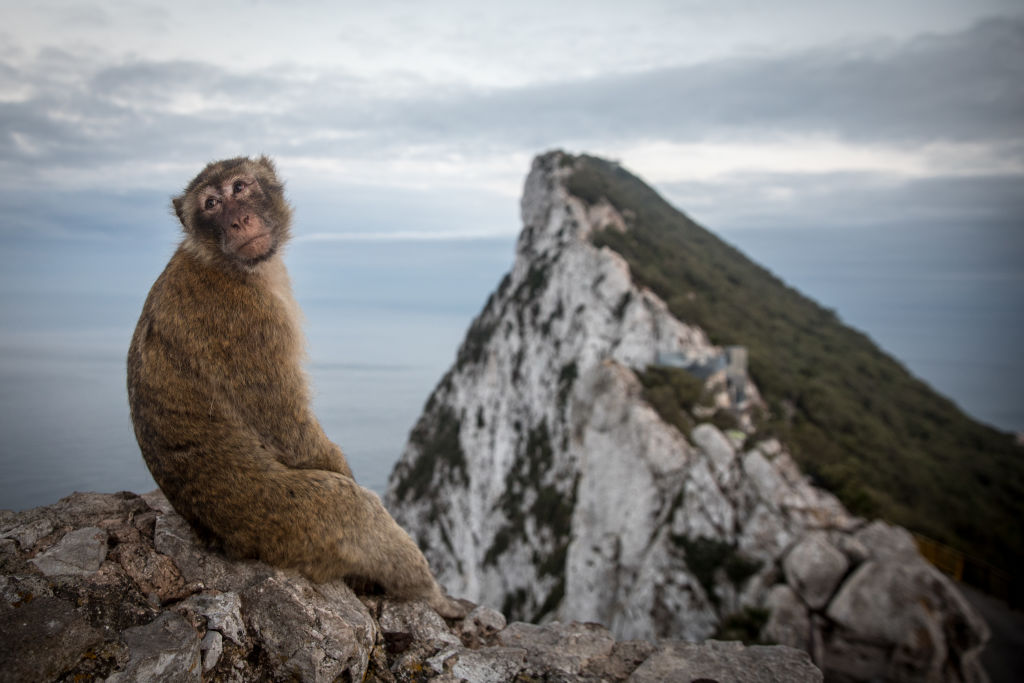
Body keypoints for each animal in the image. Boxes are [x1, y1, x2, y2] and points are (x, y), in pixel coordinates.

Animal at [127, 156, 466, 618]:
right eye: (211, 203)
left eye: (240, 187)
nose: (238, 220)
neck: (225, 264)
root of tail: (223, 539)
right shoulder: (247, 322)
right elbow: (290, 433)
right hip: (286, 525)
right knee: (354, 511)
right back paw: (429, 594)